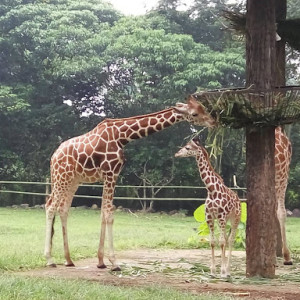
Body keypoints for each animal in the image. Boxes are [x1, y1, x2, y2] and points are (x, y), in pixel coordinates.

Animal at [44, 95, 216, 270]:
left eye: (203, 108)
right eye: (195, 113)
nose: (213, 121)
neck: (122, 136)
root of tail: (53, 157)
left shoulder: (110, 175)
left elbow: (103, 213)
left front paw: (101, 261)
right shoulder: (111, 172)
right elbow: (109, 214)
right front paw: (114, 262)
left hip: (73, 181)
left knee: (63, 209)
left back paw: (68, 259)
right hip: (61, 177)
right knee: (50, 206)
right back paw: (50, 259)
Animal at [176, 139, 241, 278]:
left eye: (187, 147)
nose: (176, 154)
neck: (211, 190)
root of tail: (238, 199)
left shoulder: (221, 216)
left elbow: (221, 242)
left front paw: (222, 271)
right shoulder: (209, 216)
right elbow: (212, 241)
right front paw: (212, 271)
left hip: (235, 218)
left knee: (231, 240)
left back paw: (228, 270)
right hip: (225, 220)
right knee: (226, 238)